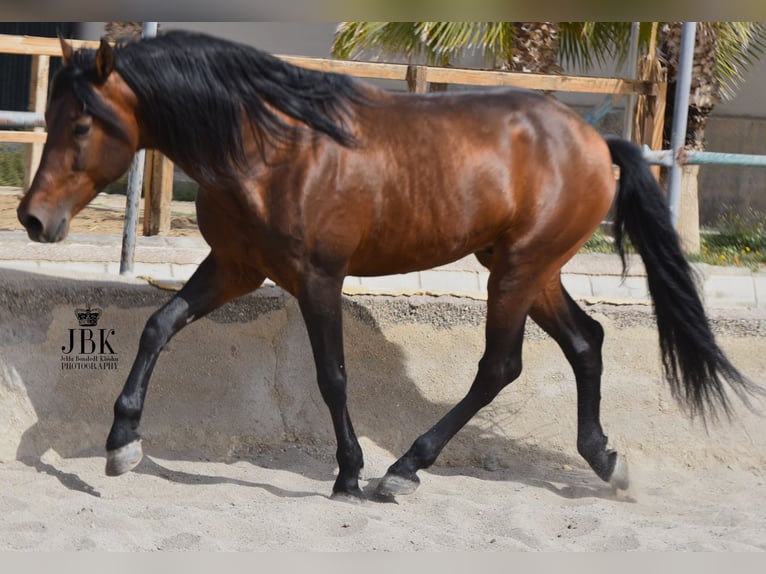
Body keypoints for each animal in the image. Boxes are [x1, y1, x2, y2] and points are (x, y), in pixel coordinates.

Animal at [15, 31, 760, 502]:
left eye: (81, 125)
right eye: (50, 116)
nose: (32, 219)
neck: (273, 147)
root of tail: (597, 144)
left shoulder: (318, 278)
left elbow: (332, 376)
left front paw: (348, 474)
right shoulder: (235, 267)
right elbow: (159, 325)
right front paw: (121, 442)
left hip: (517, 271)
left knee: (501, 367)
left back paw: (403, 470)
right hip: (528, 268)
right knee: (586, 343)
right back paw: (606, 462)